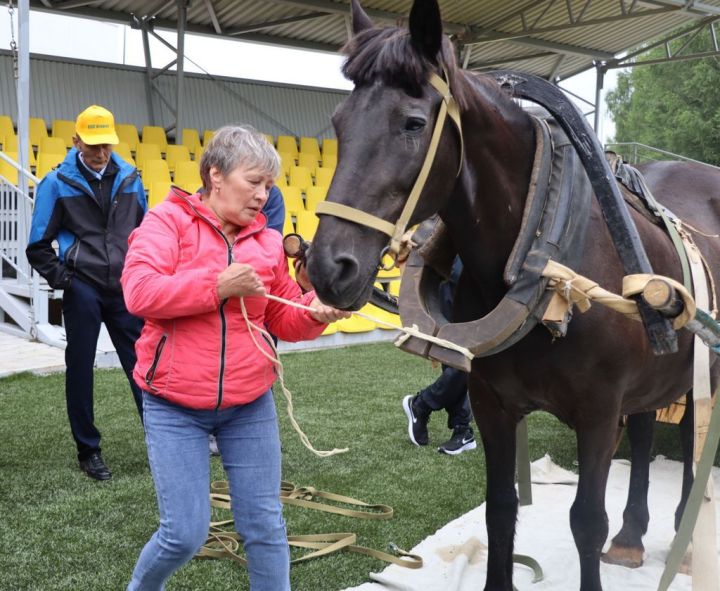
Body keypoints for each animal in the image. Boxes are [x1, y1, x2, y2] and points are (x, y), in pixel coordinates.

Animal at [306, 2, 720, 588]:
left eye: (412, 123)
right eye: (340, 124)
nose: (328, 266)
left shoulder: (598, 414)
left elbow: (585, 521)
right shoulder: (492, 404)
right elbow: (500, 510)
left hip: (705, 367)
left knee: (691, 441)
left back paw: (685, 535)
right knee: (644, 435)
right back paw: (631, 536)